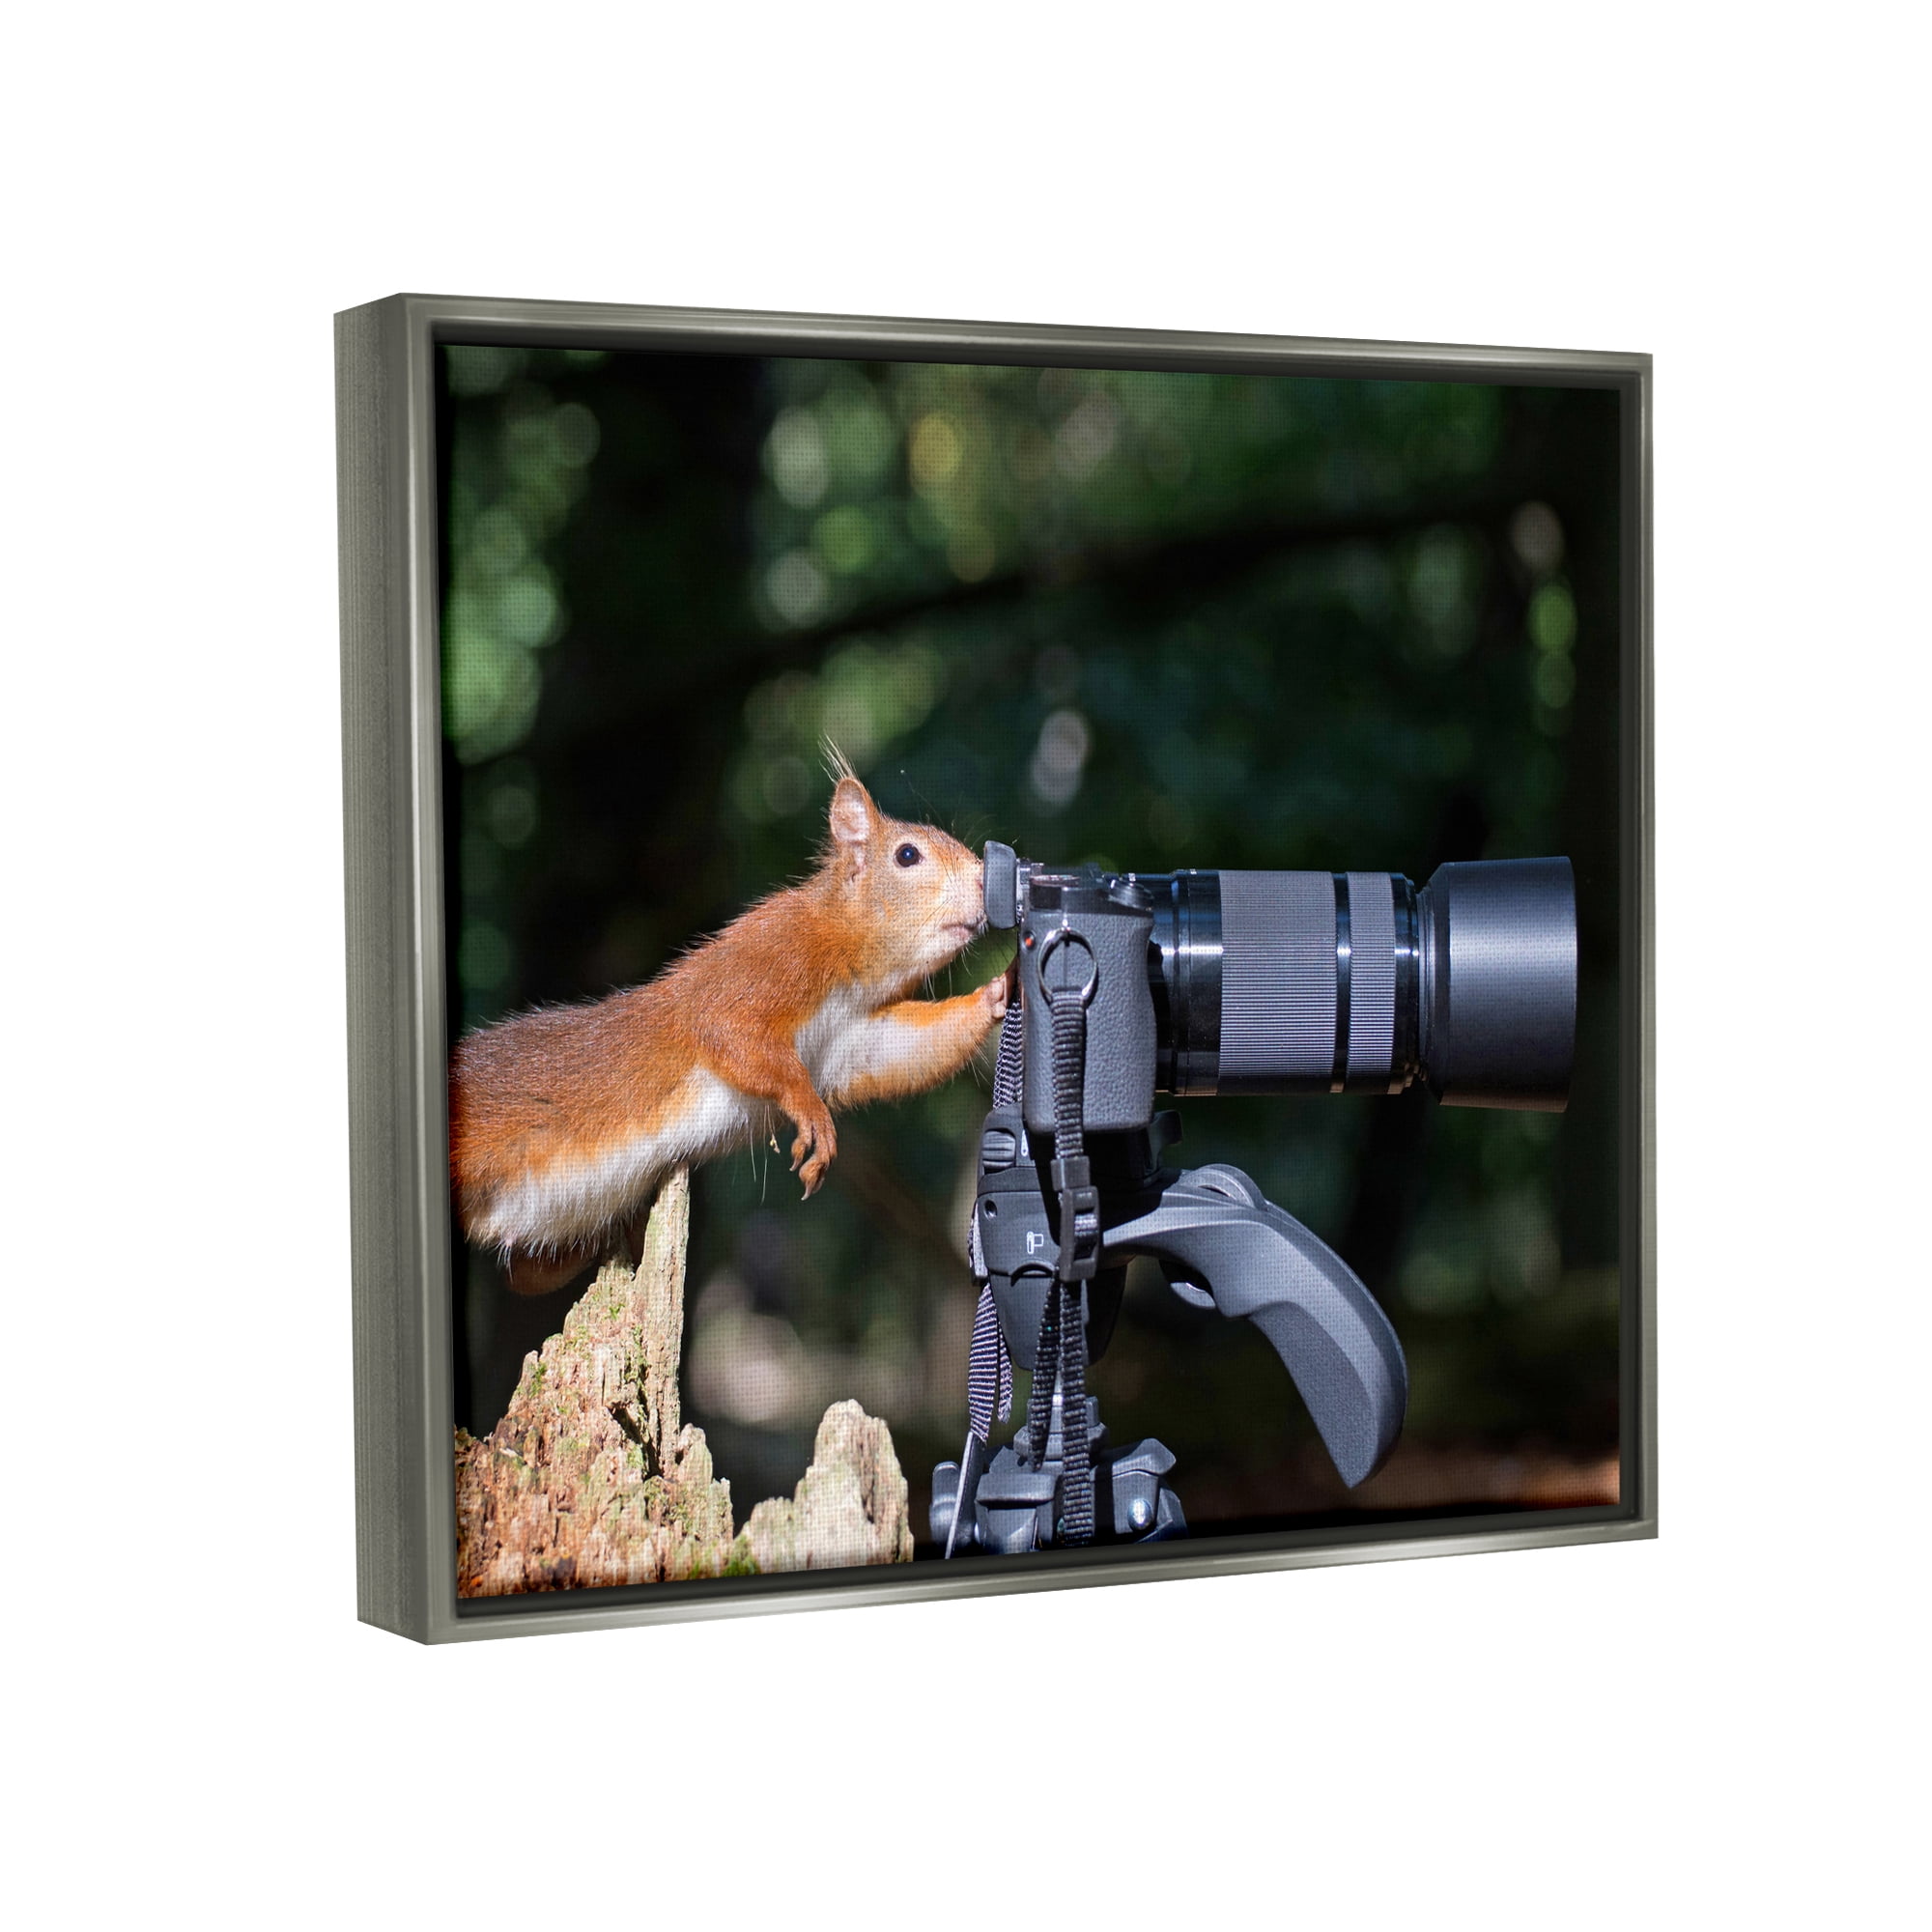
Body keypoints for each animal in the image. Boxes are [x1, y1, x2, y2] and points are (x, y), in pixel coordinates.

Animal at [450, 762, 1013, 1297]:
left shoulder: (850, 1041)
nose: (986, 882)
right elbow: (729, 1033)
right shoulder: (763, 961)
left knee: (526, 1275)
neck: (850, 961)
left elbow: (904, 1050)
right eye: (907, 855)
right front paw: (811, 1113)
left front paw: (1002, 988)